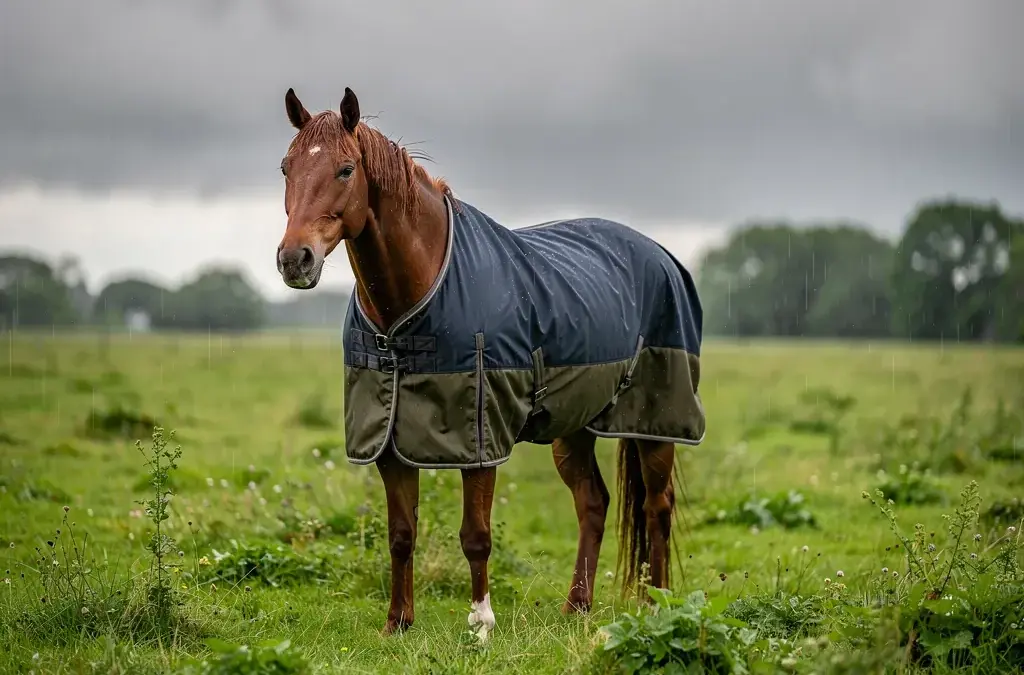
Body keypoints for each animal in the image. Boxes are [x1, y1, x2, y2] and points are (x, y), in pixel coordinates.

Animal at [275, 87, 705, 639]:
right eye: (286, 167)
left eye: (346, 169)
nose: (294, 260)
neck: (408, 311)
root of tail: (661, 254)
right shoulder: (390, 438)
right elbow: (401, 533)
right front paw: (398, 623)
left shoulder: (479, 438)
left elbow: (475, 535)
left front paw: (481, 622)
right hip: (574, 425)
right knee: (593, 502)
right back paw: (577, 606)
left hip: (655, 422)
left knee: (656, 507)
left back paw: (657, 606)